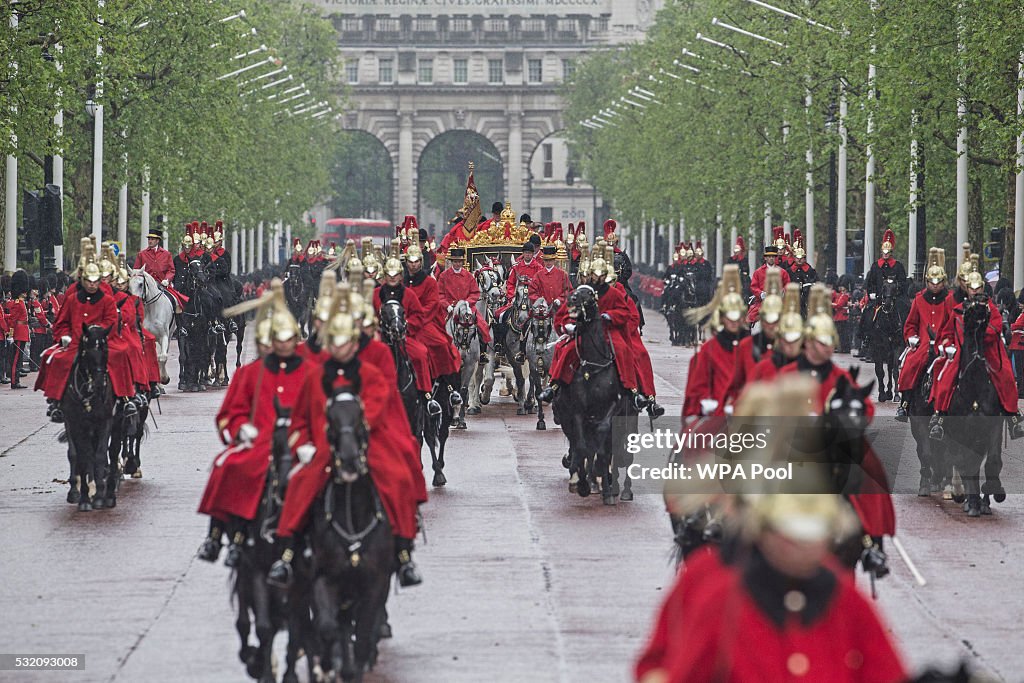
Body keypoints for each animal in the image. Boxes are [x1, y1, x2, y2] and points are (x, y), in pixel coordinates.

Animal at [61, 327, 117, 511]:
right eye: (87, 351)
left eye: (106, 350)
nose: (99, 383)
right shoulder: (76, 423)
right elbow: (81, 457)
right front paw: (84, 497)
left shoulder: (105, 421)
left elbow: (100, 454)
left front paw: (99, 496)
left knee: (113, 451)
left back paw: (109, 492)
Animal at [307, 387, 391, 679]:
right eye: (329, 421)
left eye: (360, 419)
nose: (349, 461)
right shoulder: (323, 577)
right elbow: (328, 625)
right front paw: (329, 664)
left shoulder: (376, 581)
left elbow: (364, 631)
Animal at [552, 286, 630, 505]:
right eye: (576, 290)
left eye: (589, 295)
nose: (571, 300)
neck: (593, 367)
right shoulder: (578, 412)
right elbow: (582, 447)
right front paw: (582, 484)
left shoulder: (613, 408)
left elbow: (601, 447)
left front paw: (605, 488)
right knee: (580, 446)